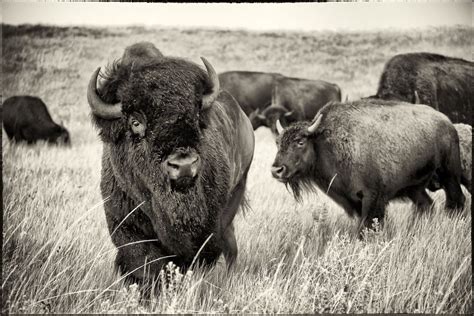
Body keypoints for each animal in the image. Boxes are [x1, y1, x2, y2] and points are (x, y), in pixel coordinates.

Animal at [86, 43, 254, 284]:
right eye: (135, 122)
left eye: (195, 115)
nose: (184, 165)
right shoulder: (125, 225)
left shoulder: (209, 227)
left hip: (237, 191)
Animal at [272, 99, 464, 232]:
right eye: (278, 142)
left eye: (300, 141)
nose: (276, 170)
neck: (325, 141)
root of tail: (448, 123)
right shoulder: (355, 201)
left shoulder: (372, 198)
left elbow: (366, 227)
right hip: (414, 188)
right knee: (426, 205)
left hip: (449, 175)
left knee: (456, 200)